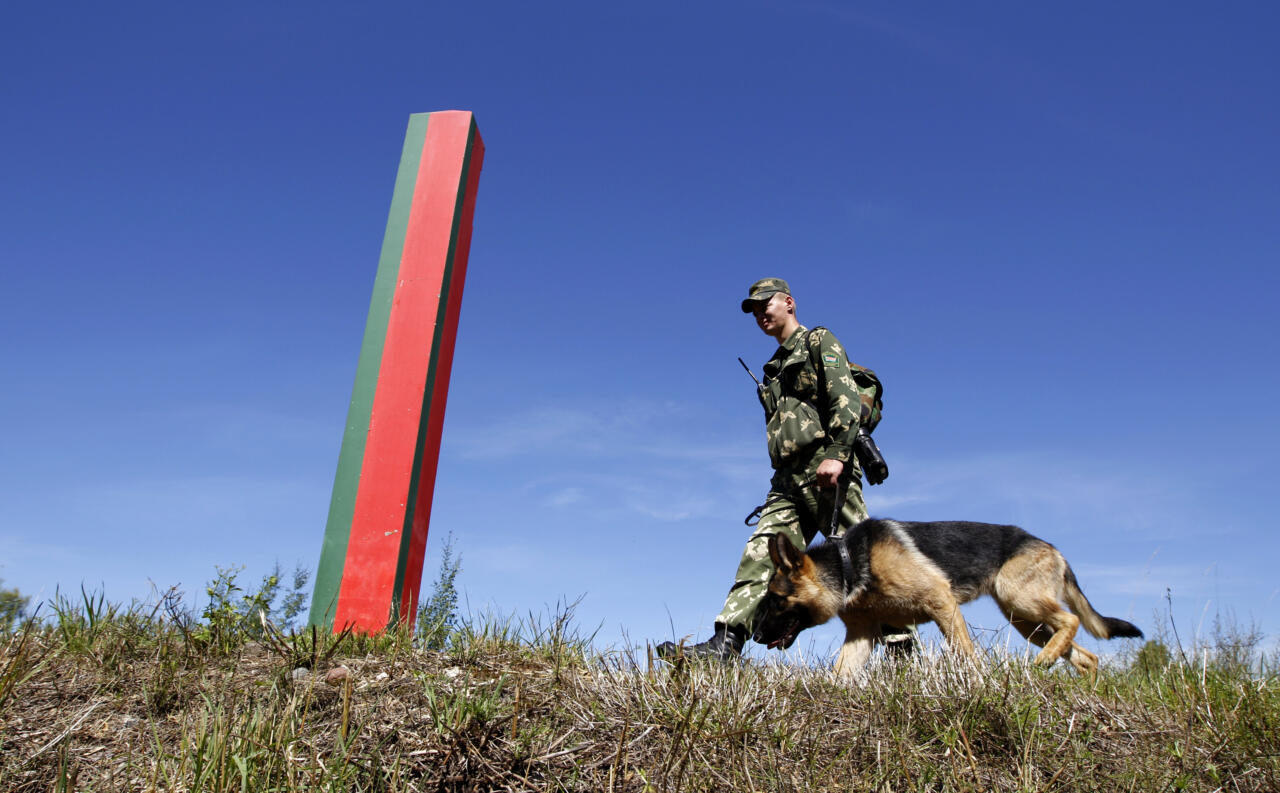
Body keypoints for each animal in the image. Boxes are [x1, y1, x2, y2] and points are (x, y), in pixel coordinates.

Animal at [747, 519, 1141, 675]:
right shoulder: (861, 634)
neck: (849, 563)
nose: (756, 635)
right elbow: (840, 673)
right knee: (1086, 655)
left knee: (1071, 620)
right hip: (1026, 622)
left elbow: (966, 653)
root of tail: (1053, 548)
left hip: (1020, 602)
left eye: (775, 600)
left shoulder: (942, 603)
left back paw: (1044, 662)